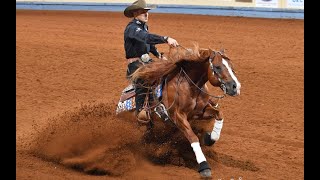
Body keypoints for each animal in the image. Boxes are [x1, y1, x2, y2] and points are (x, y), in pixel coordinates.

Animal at [125, 44, 240, 177]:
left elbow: (219, 114)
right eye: (217, 67)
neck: (190, 85)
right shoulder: (177, 116)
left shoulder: (200, 112)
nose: (235, 87)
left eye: (231, 66)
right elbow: (193, 137)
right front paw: (204, 166)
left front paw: (209, 138)